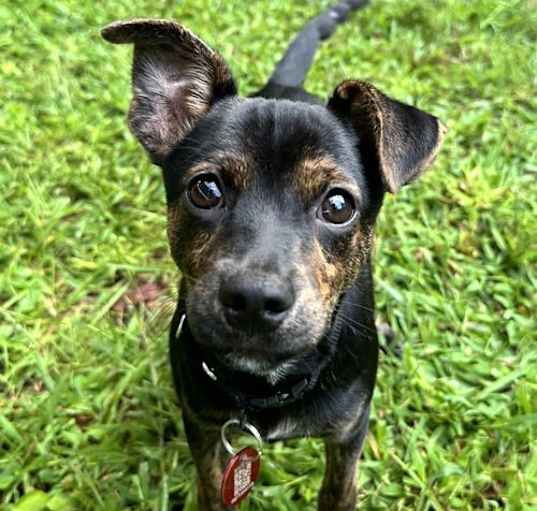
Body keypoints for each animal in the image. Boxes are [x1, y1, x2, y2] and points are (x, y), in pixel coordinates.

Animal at [100, 2, 444, 510]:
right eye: (205, 190)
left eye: (338, 205)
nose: (254, 301)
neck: (266, 383)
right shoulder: (203, 428)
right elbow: (211, 488)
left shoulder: (347, 435)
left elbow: (337, 490)